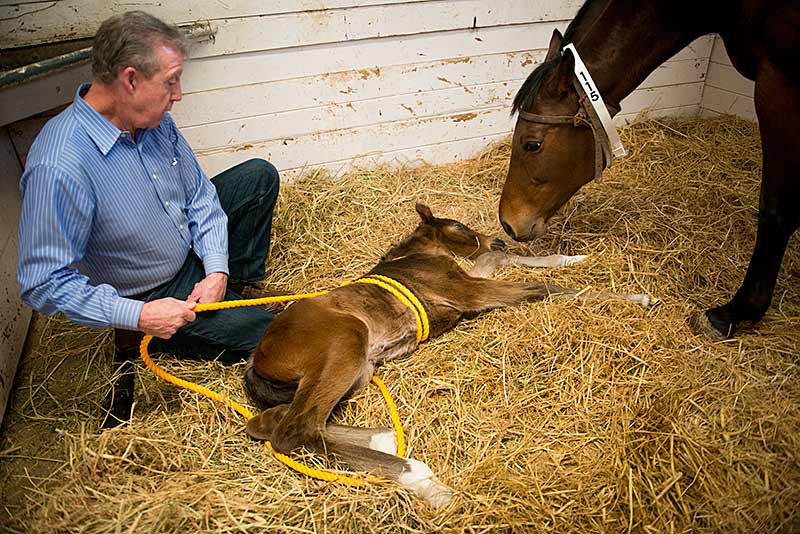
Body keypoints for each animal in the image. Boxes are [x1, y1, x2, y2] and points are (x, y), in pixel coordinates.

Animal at [244, 203, 651, 507]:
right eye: (458, 225)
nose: (498, 241)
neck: (418, 257)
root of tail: (257, 357)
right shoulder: (468, 293)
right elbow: (542, 287)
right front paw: (635, 297)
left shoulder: (469, 284)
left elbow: (512, 266)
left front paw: (570, 258)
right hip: (347, 341)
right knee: (294, 430)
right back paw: (424, 481)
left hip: (357, 370)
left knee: (272, 421)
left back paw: (382, 438)